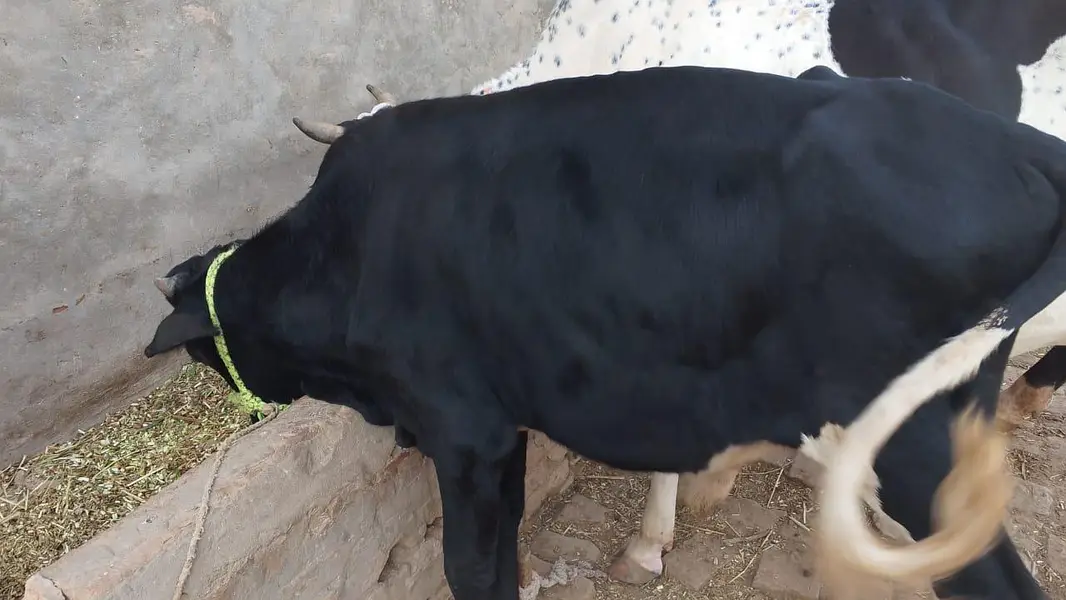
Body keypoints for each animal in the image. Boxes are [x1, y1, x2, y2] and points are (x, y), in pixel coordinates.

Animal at [146, 65, 1066, 600]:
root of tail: (1018, 141)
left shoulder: (462, 426)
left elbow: (469, 566)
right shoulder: (502, 427)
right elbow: (508, 542)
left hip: (913, 443)